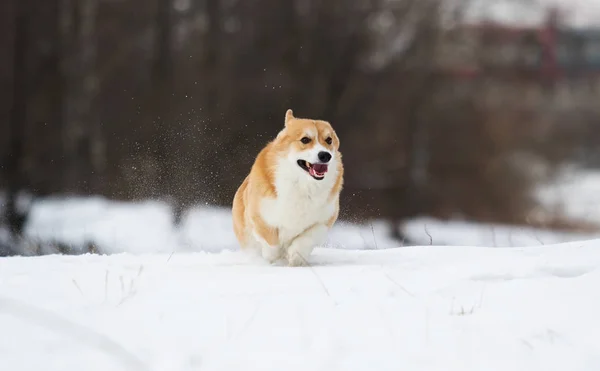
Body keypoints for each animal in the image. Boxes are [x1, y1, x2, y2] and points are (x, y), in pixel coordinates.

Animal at [232, 109, 344, 266]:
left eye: (329, 140)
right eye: (305, 140)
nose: (325, 155)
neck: (303, 184)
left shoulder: (324, 220)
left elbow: (308, 237)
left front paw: (296, 256)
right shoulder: (260, 216)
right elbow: (271, 242)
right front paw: (274, 259)